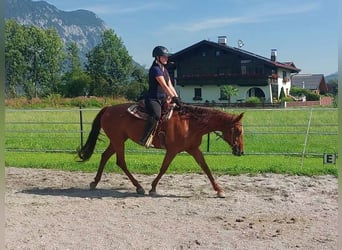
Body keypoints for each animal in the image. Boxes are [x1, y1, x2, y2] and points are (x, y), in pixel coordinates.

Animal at [78, 102, 243, 198]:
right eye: (238, 131)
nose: (240, 152)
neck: (190, 124)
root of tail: (108, 109)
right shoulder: (172, 150)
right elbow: (164, 168)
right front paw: (152, 188)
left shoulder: (194, 149)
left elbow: (206, 168)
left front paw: (219, 190)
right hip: (118, 141)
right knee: (120, 162)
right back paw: (139, 187)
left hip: (117, 140)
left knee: (105, 156)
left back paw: (95, 182)